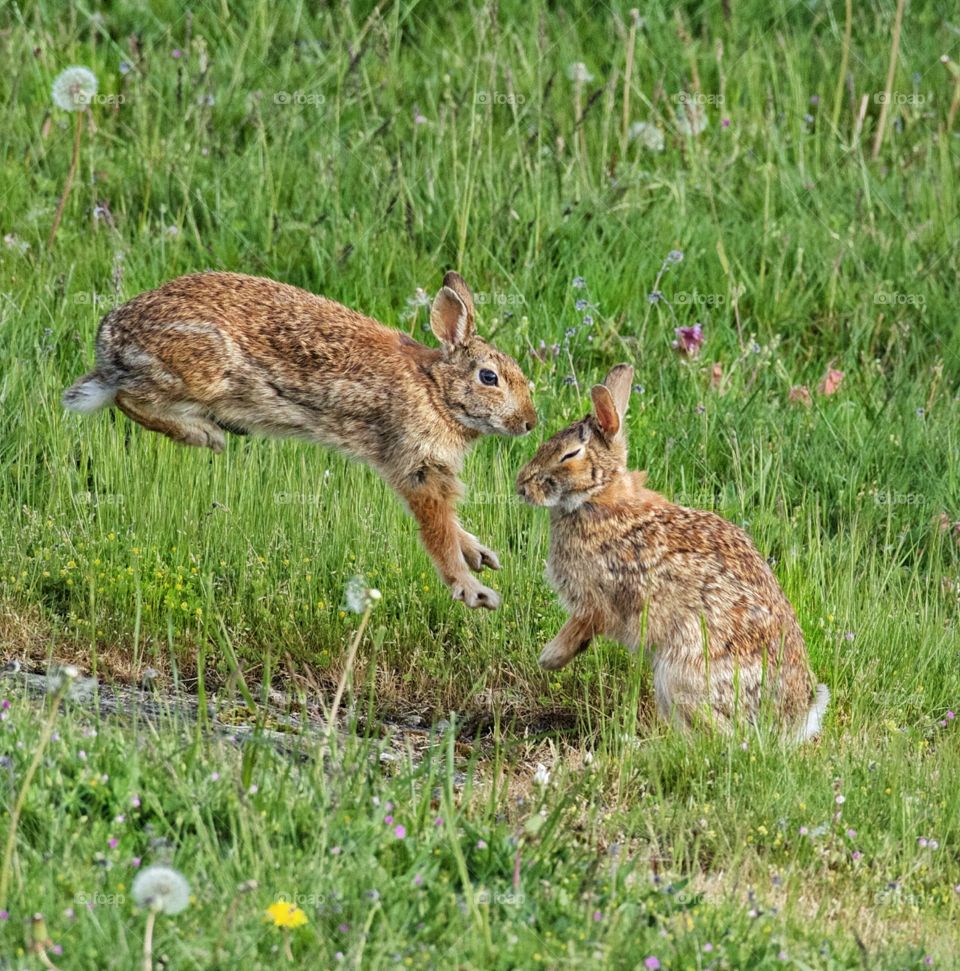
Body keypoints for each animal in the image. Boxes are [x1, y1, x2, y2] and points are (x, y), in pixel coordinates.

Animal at [63, 270, 536, 612]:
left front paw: (481, 554)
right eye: (489, 378)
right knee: (128, 398)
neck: (437, 391)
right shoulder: (417, 467)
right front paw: (474, 591)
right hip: (198, 371)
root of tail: (110, 345)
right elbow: (438, 534)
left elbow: (453, 526)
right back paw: (206, 435)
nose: (530, 423)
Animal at [512, 362, 828, 736]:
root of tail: (789, 722)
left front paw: (549, 658)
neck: (599, 498)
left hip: (679, 672)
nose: (521, 486)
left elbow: (580, 627)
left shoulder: (596, 600)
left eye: (570, 454)